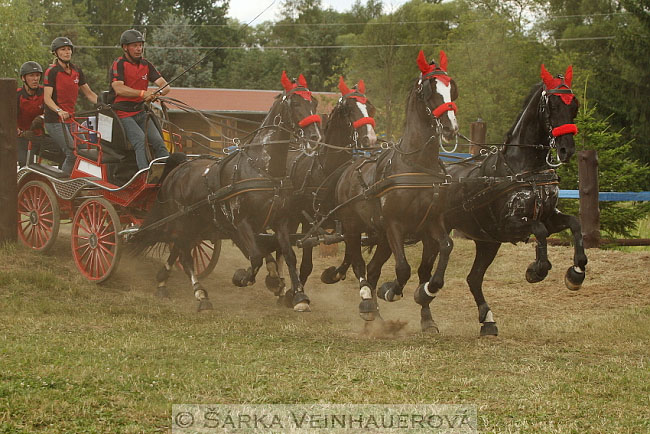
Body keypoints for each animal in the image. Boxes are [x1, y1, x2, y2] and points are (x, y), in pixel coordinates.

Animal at [130, 70, 322, 308]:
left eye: (313, 102)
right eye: (295, 103)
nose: (315, 137)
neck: (262, 168)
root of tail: (178, 169)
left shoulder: (280, 221)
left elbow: (288, 255)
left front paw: (298, 296)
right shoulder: (240, 222)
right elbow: (256, 256)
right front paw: (244, 278)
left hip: (197, 224)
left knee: (179, 249)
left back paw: (163, 282)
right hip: (183, 221)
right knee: (184, 253)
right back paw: (200, 294)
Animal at [322, 51, 458, 322]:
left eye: (451, 88)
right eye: (430, 90)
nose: (451, 128)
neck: (417, 165)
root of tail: (350, 167)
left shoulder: (431, 221)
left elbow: (446, 247)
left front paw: (427, 291)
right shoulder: (395, 224)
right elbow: (403, 268)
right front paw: (391, 290)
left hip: (380, 235)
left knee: (372, 268)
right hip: (353, 226)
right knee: (358, 264)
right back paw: (366, 300)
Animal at [412, 64, 584, 336]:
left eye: (574, 104)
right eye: (553, 105)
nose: (567, 150)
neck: (524, 168)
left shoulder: (549, 216)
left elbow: (575, 224)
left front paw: (576, 273)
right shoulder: (510, 224)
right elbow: (539, 230)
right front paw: (537, 269)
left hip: (487, 241)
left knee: (473, 278)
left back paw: (488, 319)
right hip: (434, 234)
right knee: (425, 271)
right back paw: (427, 312)